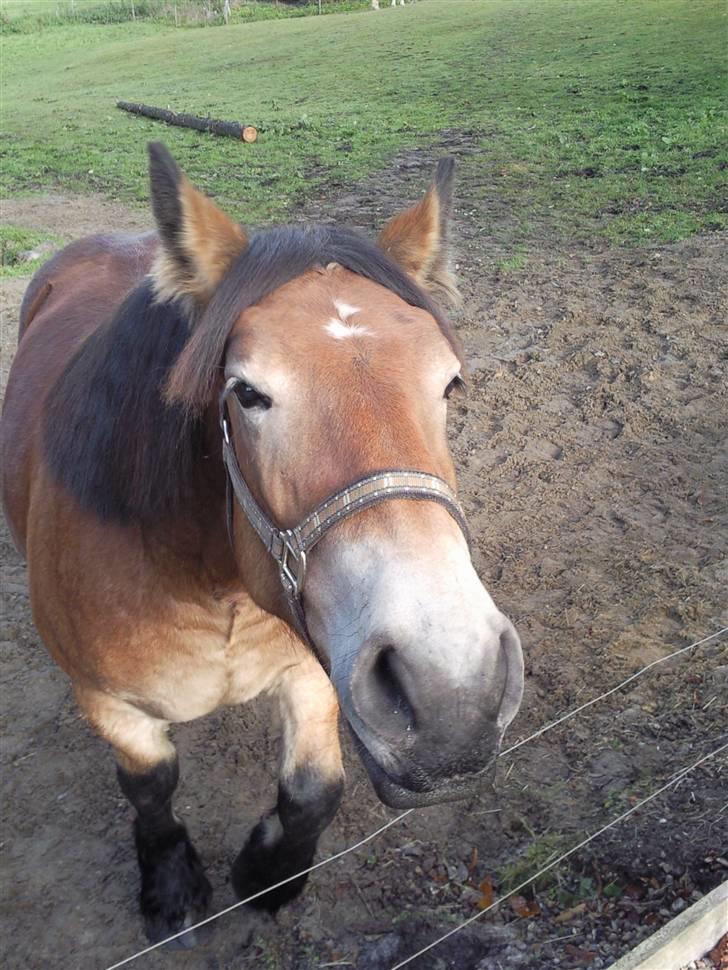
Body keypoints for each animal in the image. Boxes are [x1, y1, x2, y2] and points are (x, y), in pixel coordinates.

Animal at [1, 140, 524, 940]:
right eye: (247, 393)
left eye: (450, 383)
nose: (453, 695)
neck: (209, 586)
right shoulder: (110, 704)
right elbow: (150, 788)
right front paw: (172, 885)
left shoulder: (317, 670)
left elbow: (313, 790)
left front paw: (268, 874)